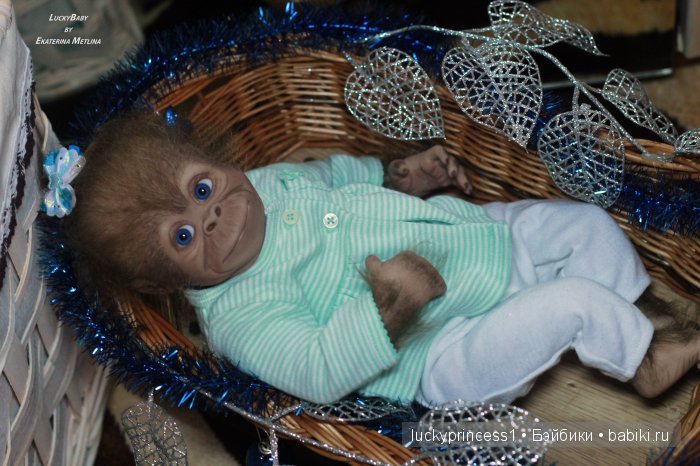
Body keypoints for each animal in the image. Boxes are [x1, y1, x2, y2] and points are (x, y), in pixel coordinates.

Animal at [64, 109, 700, 405]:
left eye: (200, 189)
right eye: (182, 238)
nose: (213, 218)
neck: (268, 234)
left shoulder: (296, 172)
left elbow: (349, 172)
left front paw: (422, 170)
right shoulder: (242, 315)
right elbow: (316, 366)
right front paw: (401, 285)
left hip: (522, 231)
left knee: (585, 232)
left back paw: (664, 327)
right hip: (469, 362)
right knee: (570, 305)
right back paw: (660, 364)